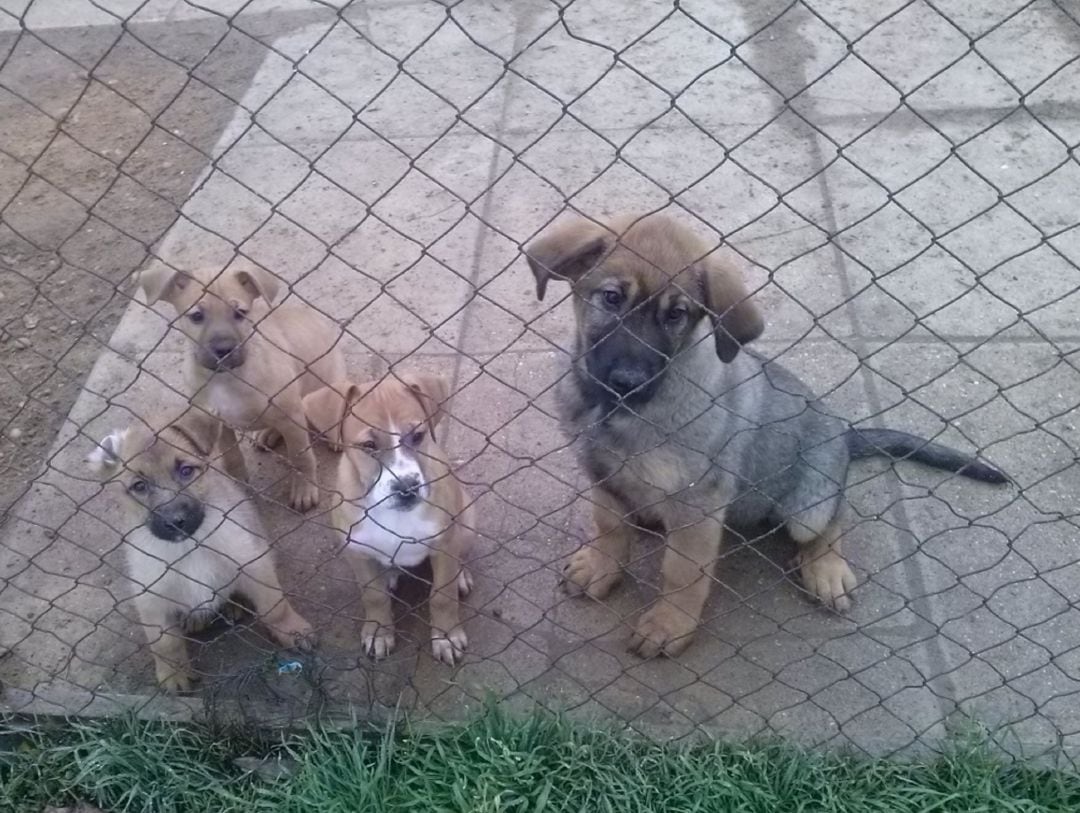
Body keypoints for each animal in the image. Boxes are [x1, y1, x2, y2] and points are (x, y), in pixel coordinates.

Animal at [87, 408, 313, 686]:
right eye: (139, 486)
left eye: (186, 471)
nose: (175, 521)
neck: (189, 547)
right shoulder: (151, 598)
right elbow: (165, 644)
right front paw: (173, 674)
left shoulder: (253, 564)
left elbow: (275, 608)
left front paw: (293, 630)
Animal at [135, 263, 343, 509]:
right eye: (197, 316)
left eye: (240, 313)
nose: (224, 349)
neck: (226, 378)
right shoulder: (217, 423)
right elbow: (232, 458)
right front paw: (240, 486)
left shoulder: (291, 416)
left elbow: (301, 457)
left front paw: (304, 490)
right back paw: (266, 434)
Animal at [304, 373, 473, 665]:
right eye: (369, 446)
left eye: (418, 436)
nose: (407, 488)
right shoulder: (356, 550)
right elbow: (373, 597)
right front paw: (379, 632)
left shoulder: (444, 542)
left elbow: (443, 595)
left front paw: (446, 636)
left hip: (468, 519)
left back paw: (461, 576)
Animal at [527, 213, 1006, 660]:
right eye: (611, 298)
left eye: (676, 315)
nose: (627, 381)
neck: (614, 413)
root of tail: (844, 434)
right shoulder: (600, 475)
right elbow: (609, 526)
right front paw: (602, 567)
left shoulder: (699, 502)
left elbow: (682, 572)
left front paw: (669, 624)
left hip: (809, 502)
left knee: (830, 519)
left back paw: (826, 569)